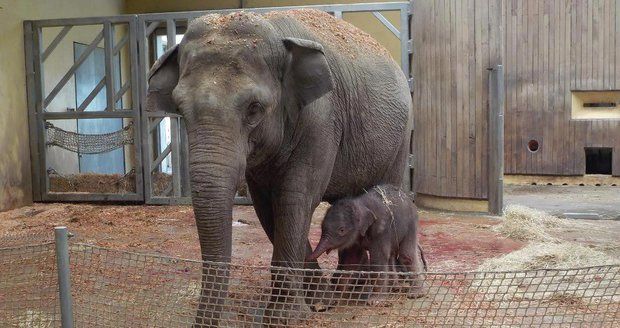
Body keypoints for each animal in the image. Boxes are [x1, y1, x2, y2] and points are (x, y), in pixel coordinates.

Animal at [147, 9, 412, 326]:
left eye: (254, 108)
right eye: (179, 108)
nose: (205, 322)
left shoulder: (321, 120)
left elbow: (295, 199)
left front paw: (285, 317)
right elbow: (267, 207)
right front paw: (319, 302)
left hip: (401, 138)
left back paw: (380, 291)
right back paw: (343, 290)